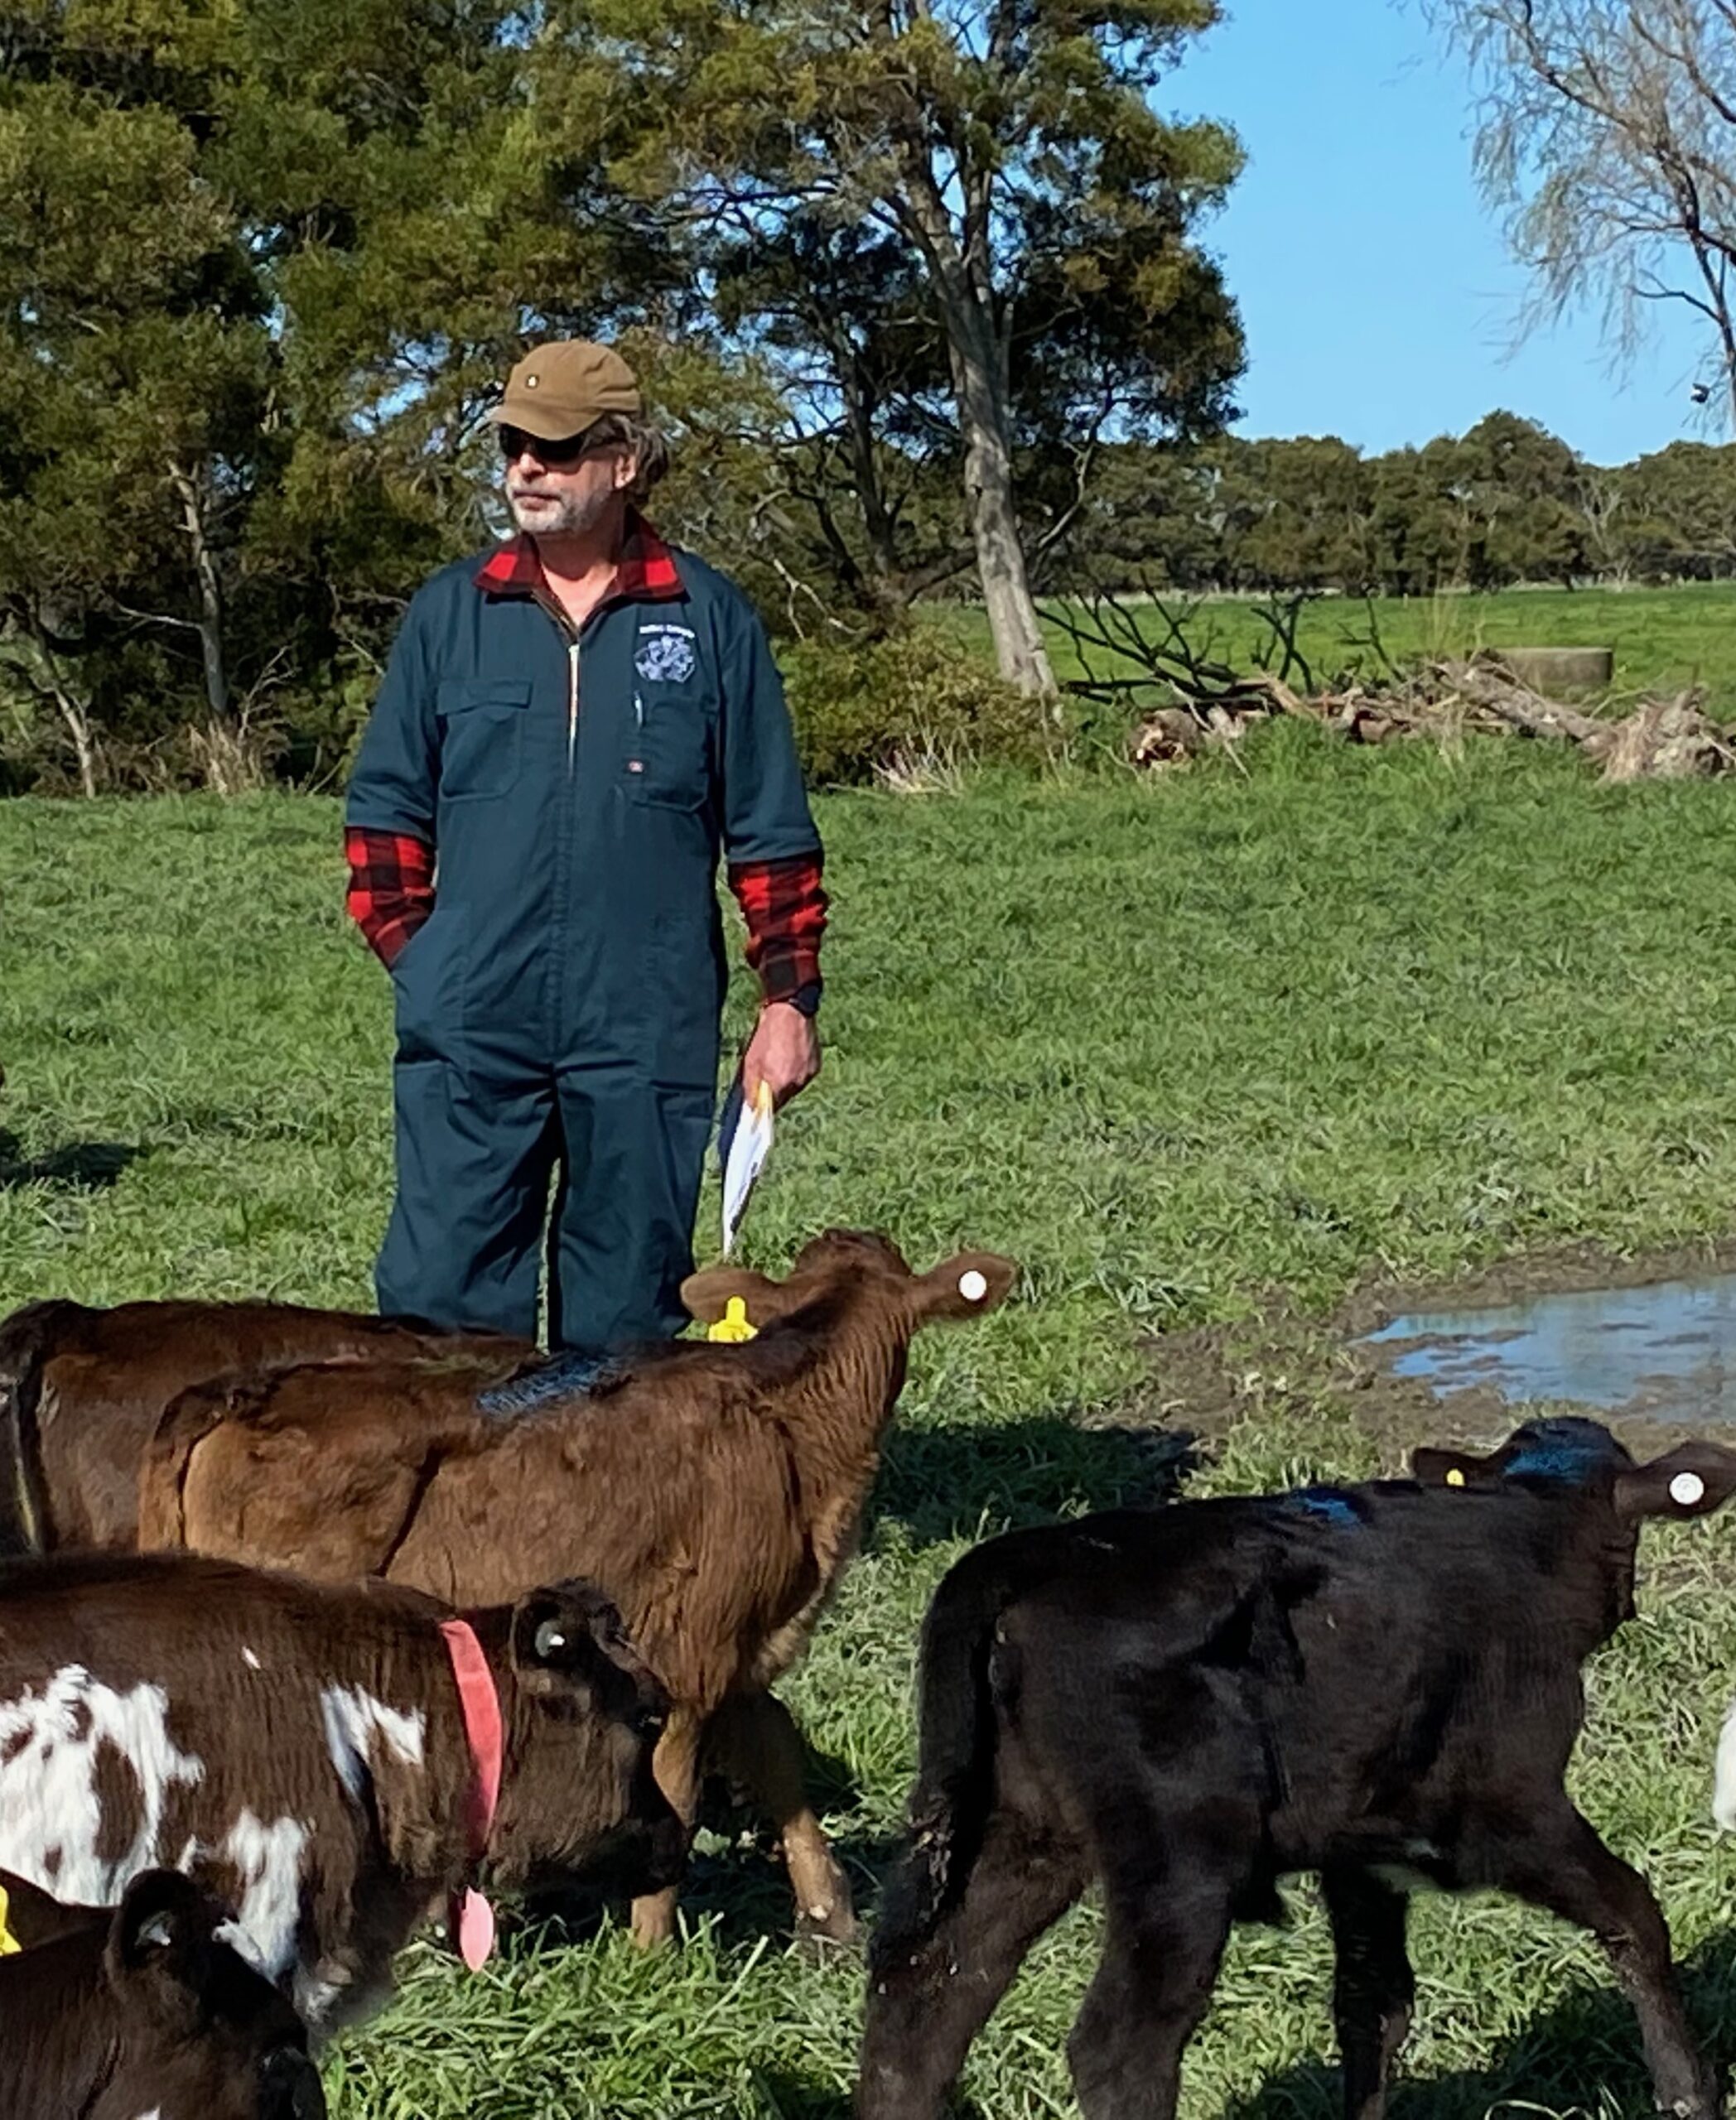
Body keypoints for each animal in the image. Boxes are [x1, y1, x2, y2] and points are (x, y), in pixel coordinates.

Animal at [142, 1238, 1025, 1941]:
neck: (784, 1417)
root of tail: (240, 1392)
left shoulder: (739, 1645)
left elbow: (775, 1751)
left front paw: (829, 1918)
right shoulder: (690, 1653)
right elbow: (678, 1786)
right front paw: (651, 1958)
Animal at [861, 1416, 1736, 2120]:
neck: (1529, 1522)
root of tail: (1042, 1551)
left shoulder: (1363, 1850)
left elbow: (1373, 2006)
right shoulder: (1509, 1810)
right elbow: (1635, 1915)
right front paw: (1689, 2093)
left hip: (1012, 1833)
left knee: (924, 2000)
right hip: (1178, 1867)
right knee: (1117, 2047)